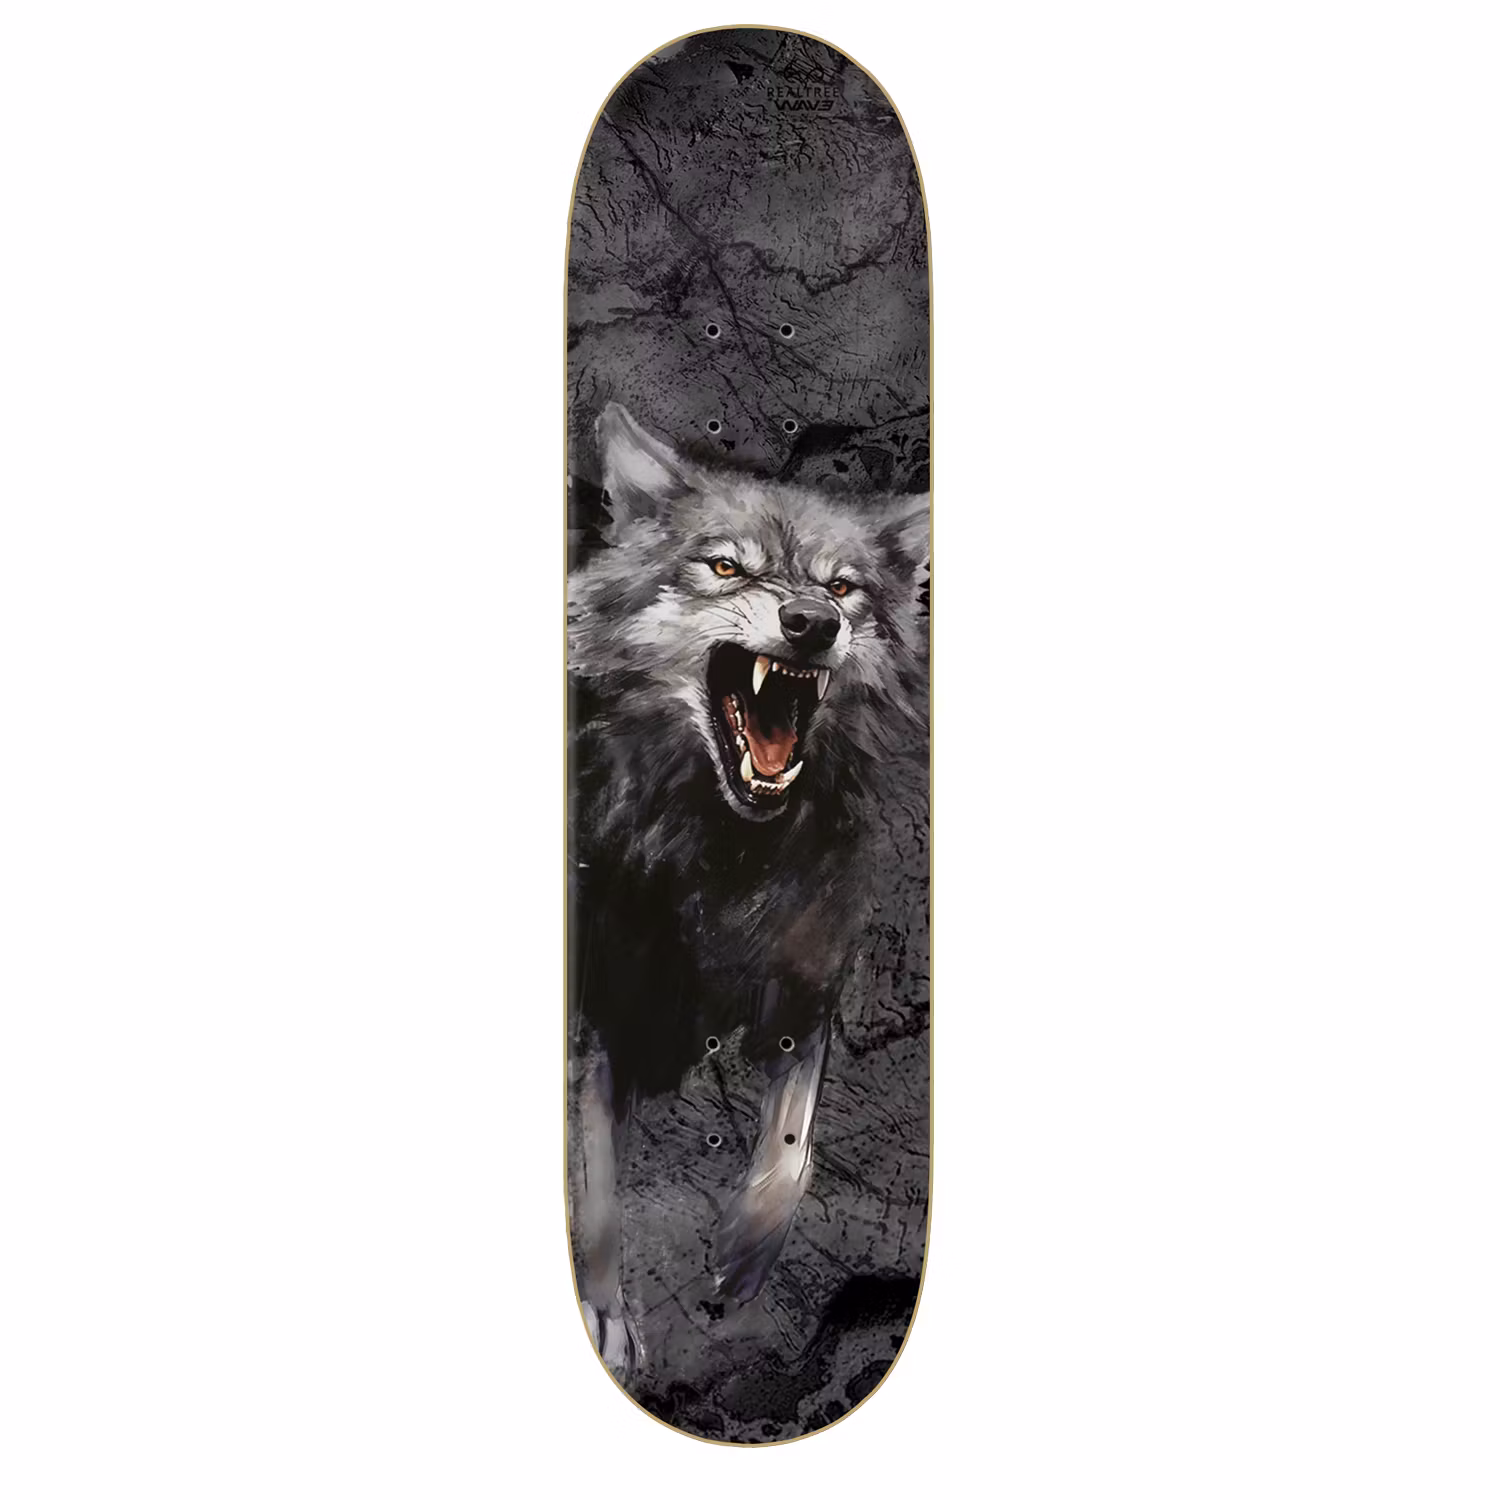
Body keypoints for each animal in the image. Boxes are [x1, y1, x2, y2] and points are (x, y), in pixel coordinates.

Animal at [567, 403, 928, 1374]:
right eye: (726, 566)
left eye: (842, 587)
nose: (809, 620)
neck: (727, 860)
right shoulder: (600, 1015)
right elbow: (596, 1185)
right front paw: (605, 1321)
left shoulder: (805, 990)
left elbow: (793, 1149)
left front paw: (739, 1259)